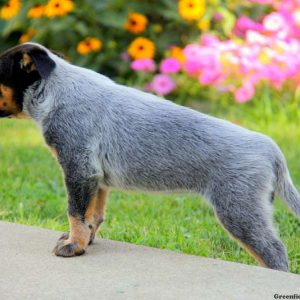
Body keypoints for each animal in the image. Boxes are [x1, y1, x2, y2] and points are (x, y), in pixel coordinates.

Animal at [0, 42, 300, 272]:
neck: (55, 92)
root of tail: (270, 148)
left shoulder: (79, 168)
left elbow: (75, 212)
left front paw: (73, 247)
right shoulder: (96, 179)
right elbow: (92, 215)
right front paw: (86, 241)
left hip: (238, 210)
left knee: (274, 251)